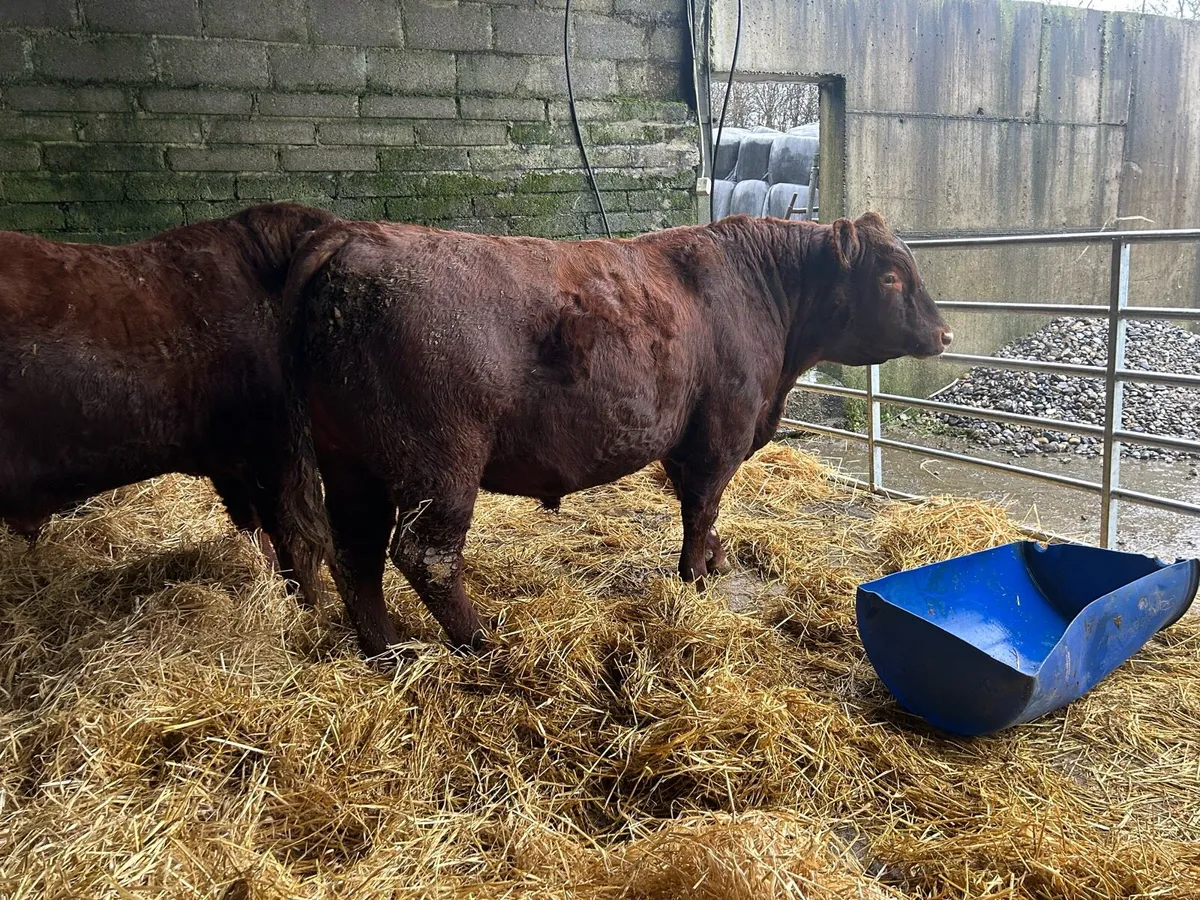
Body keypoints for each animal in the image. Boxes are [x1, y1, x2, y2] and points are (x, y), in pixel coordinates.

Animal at [280, 211, 952, 657]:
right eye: (891, 276)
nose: (945, 333)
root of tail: (354, 238)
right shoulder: (720, 436)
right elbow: (703, 507)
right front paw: (697, 573)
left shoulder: (685, 443)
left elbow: (698, 508)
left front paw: (712, 561)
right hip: (439, 465)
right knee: (427, 557)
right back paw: (484, 640)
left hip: (350, 464)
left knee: (355, 552)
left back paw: (387, 649)